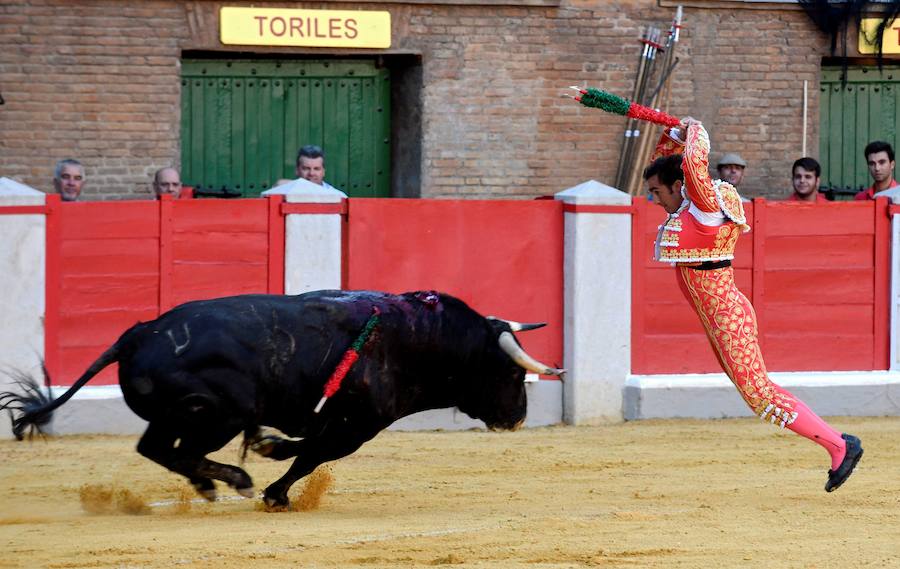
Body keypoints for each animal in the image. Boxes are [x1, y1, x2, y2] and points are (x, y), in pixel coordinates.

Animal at [3, 288, 564, 506]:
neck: (418, 337)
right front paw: (274, 488)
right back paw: (236, 480)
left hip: (182, 417)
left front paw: (270, 455)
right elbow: (313, 453)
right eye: (511, 374)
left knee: (157, 449)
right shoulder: (360, 424)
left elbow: (307, 447)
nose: (518, 417)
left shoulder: (342, 422)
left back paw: (212, 485)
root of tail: (137, 333)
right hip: (218, 414)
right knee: (178, 450)